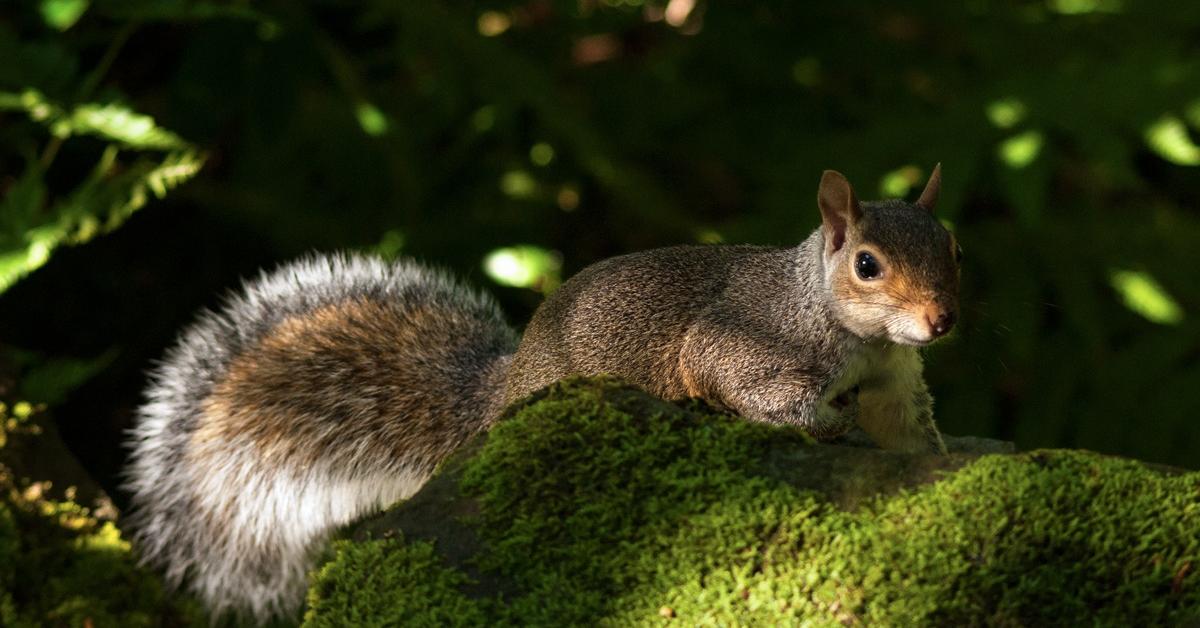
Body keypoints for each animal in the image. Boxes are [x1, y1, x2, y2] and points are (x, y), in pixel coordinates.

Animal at [124, 166, 964, 624]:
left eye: (954, 245)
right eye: (865, 264)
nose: (942, 320)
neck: (855, 335)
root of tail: (503, 394)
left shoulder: (894, 384)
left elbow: (911, 435)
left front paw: (936, 456)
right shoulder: (739, 342)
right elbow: (746, 389)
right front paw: (826, 422)